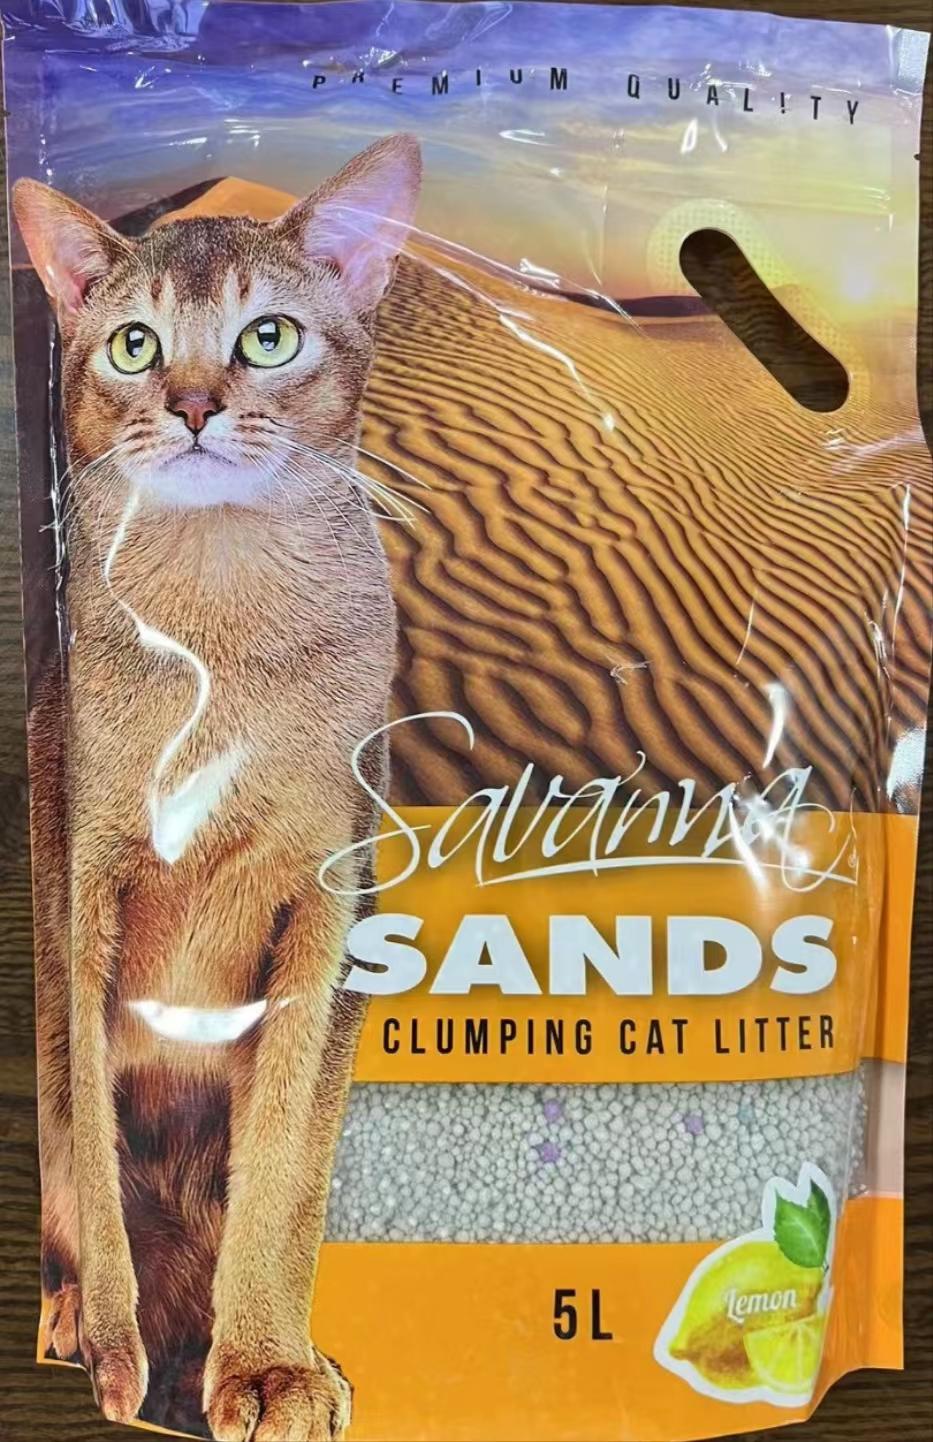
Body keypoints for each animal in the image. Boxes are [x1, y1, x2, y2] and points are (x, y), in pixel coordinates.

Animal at [14, 132, 422, 1442]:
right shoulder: (84, 905)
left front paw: (265, 1366)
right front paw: (113, 1352)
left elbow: (284, 1172)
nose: (194, 405)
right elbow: (89, 1150)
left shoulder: (327, 914)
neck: (222, 649)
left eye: (268, 336)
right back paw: (69, 1308)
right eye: (136, 343)